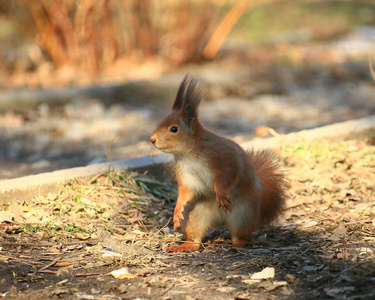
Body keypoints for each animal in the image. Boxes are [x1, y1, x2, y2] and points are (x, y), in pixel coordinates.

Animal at [150, 74, 288, 251]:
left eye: (174, 129)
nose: (152, 139)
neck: (189, 153)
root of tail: (220, 219)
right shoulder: (185, 172)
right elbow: (187, 191)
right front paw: (177, 210)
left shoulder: (222, 159)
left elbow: (226, 177)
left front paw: (221, 195)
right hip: (196, 214)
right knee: (196, 237)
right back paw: (186, 245)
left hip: (243, 213)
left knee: (238, 235)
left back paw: (244, 241)